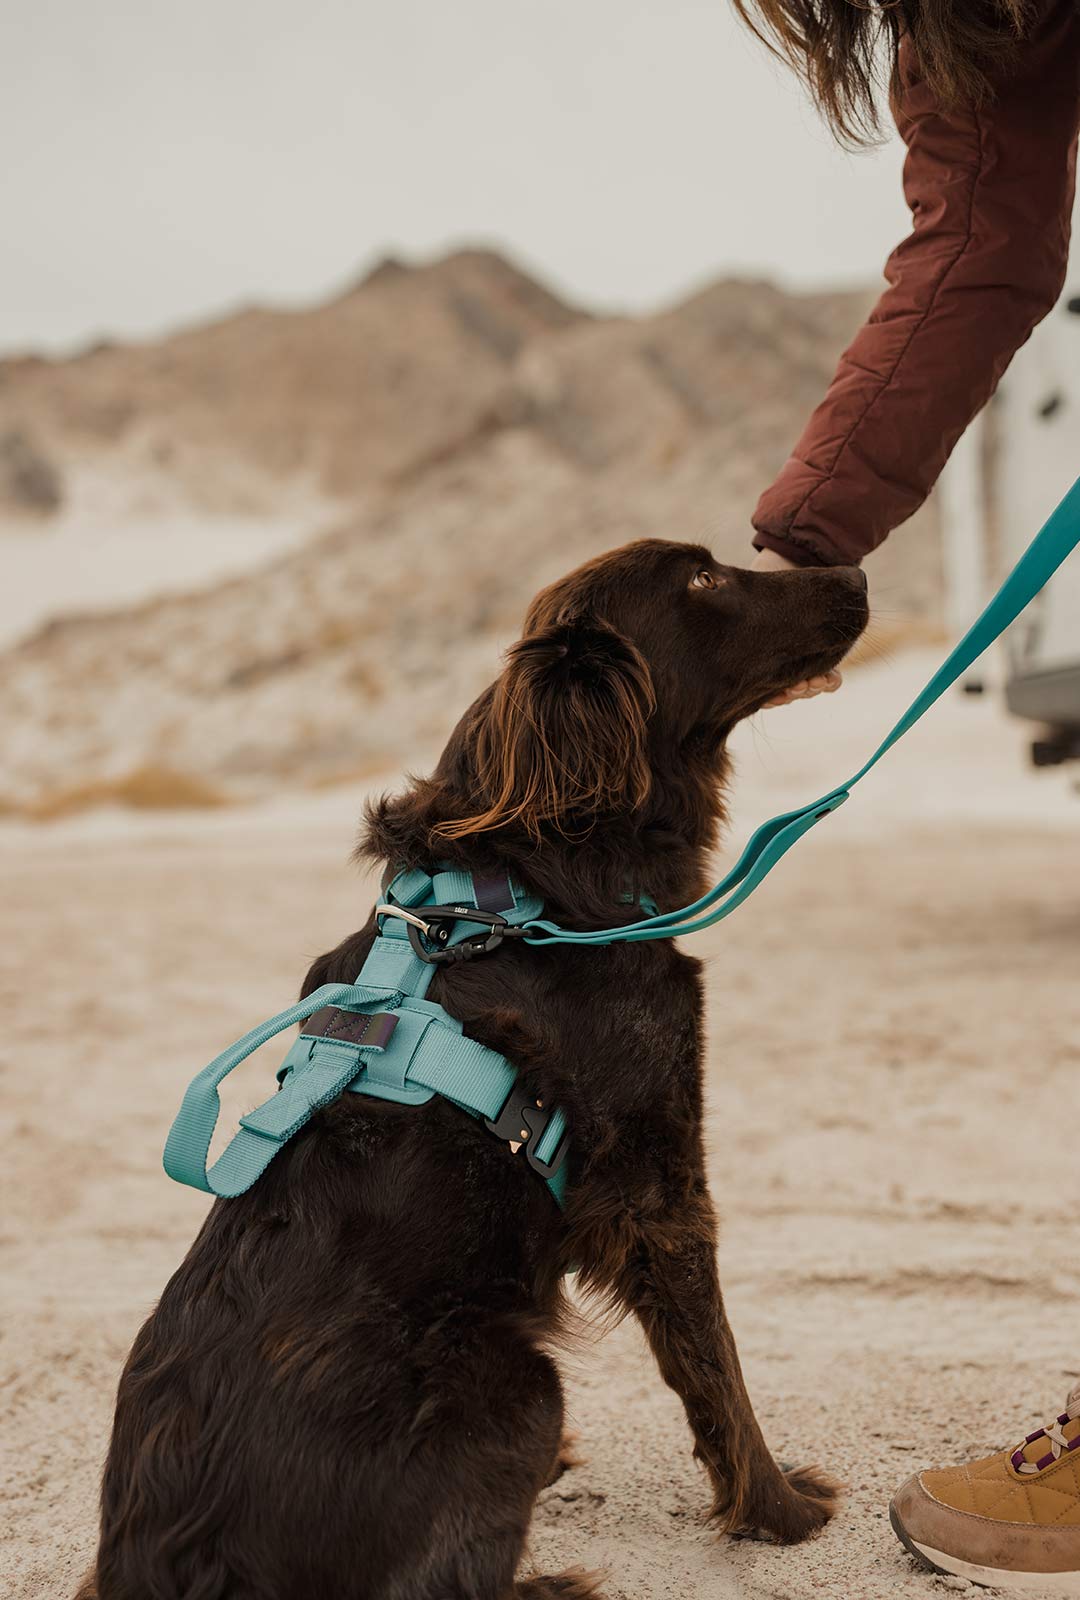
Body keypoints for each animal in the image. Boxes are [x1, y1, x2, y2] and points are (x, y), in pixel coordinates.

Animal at [80, 540, 870, 1600]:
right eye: (702, 580)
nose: (859, 577)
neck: (533, 892)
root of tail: (161, 1562)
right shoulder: (660, 1185)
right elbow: (717, 1372)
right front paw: (782, 1513)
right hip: (516, 1386)